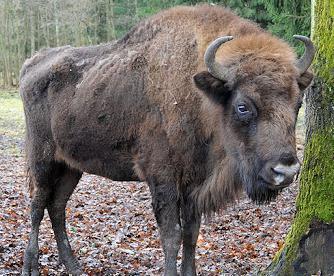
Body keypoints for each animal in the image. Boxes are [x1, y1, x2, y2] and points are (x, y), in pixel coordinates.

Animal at [20, 4, 314, 276]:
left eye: (298, 103)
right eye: (242, 106)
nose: (286, 170)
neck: (201, 98)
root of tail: (31, 64)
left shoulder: (194, 184)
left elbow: (191, 234)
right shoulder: (163, 178)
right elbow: (172, 235)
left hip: (71, 167)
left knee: (57, 207)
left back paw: (73, 267)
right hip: (42, 159)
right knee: (37, 205)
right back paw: (30, 266)